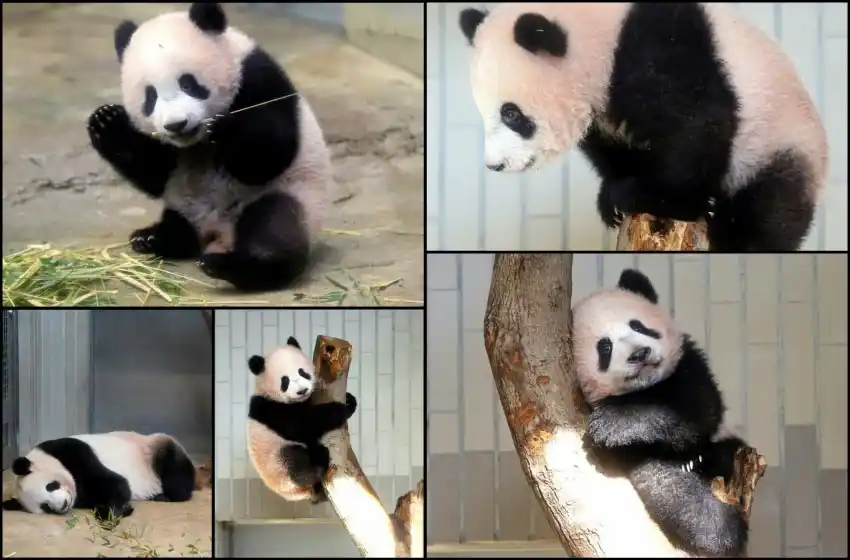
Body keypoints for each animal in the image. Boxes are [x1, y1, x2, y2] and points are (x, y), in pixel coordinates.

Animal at [2, 431, 196, 523]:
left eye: (51, 486)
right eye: (45, 506)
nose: (63, 505)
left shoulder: (74, 452)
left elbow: (116, 483)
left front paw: (110, 514)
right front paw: (124, 509)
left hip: (154, 449)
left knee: (174, 469)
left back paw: (166, 496)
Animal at [87, 2, 330, 290]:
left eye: (188, 83)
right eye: (150, 96)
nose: (177, 124)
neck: (196, 142)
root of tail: (216, 234)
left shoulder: (258, 78)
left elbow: (269, 157)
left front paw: (222, 127)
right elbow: (154, 172)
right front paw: (106, 121)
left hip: (290, 196)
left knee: (273, 224)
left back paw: (233, 265)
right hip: (184, 203)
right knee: (178, 227)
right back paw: (152, 238)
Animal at [247, 336, 357, 504]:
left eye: (303, 372)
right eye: (284, 381)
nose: (302, 391)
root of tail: (300, 494)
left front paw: (350, 399)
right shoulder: (270, 409)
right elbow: (304, 426)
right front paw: (343, 408)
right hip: (277, 466)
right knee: (295, 463)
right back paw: (318, 461)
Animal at [459, 3, 829, 251]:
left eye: (511, 114)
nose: (495, 165)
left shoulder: (664, 50)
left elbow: (698, 128)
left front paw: (651, 196)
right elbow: (613, 147)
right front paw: (612, 200)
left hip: (778, 144)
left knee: (769, 209)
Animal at [571, 268, 749, 557]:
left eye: (638, 326)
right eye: (605, 347)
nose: (639, 353)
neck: (647, 387)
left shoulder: (689, 366)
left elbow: (698, 408)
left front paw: (615, 423)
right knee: (672, 490)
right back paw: (720, 529)